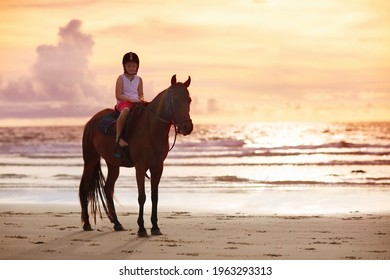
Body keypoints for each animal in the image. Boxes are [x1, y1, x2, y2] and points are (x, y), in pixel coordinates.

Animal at [79, 74, 193, 236]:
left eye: (189, 100)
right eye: (175, 100)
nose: (187, 127)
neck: (151, 128)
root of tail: (91, 121)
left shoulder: (157, 167)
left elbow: (154, 197)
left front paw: (155, 227)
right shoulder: (140, 167)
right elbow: (142, 197)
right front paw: (142, 228)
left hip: (113, 164)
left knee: (108, 189)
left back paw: (117, 223)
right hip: (90, 160)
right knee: (85, 187)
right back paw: (87, 224)